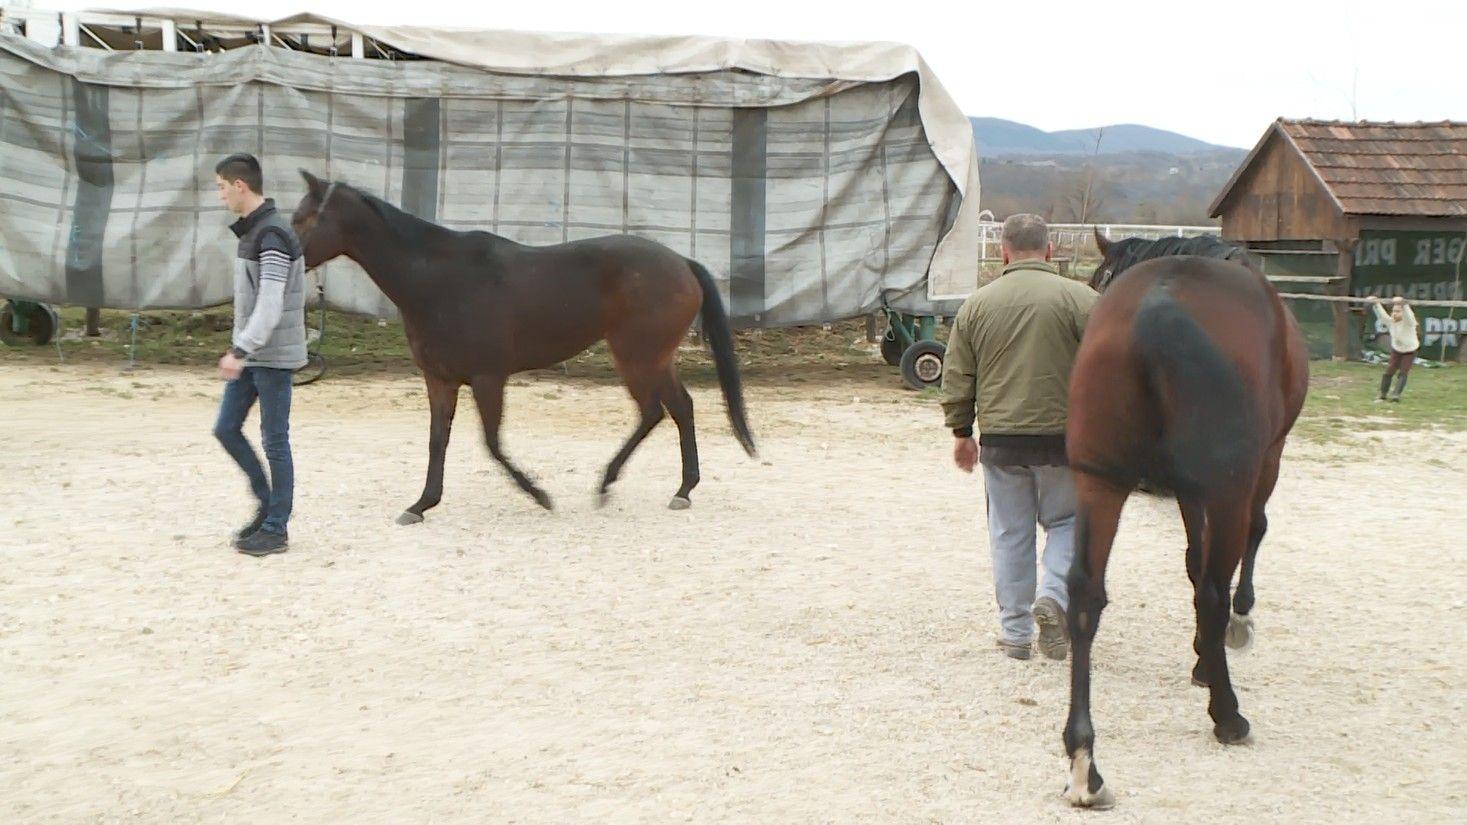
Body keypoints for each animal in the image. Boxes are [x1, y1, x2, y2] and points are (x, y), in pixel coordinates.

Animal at [293, 171, 762, 522]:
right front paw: (422, 504)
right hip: (651, 358)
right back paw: (677, 487)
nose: (285, 251)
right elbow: (437, 440)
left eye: (303, 219)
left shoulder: (487, 378)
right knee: (677, 408)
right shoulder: (440, 380)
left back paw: (617, 484)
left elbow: (492, 443)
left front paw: (539, 495)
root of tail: (683, 263)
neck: (439, 280)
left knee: (657, 411)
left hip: (638, 358)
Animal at [1062, 229, 1314, 804]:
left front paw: (1202, 651)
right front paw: (1230, 632)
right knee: (1214, 590)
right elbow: (1247, 540)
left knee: (1086, 596)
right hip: (1229, 486)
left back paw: (1085, 760)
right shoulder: (1263, 462)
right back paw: (1228, 715)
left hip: (1099, 481)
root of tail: (1153, 311)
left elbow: (1191, 560)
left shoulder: (1184, 491)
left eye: (1095, 281)